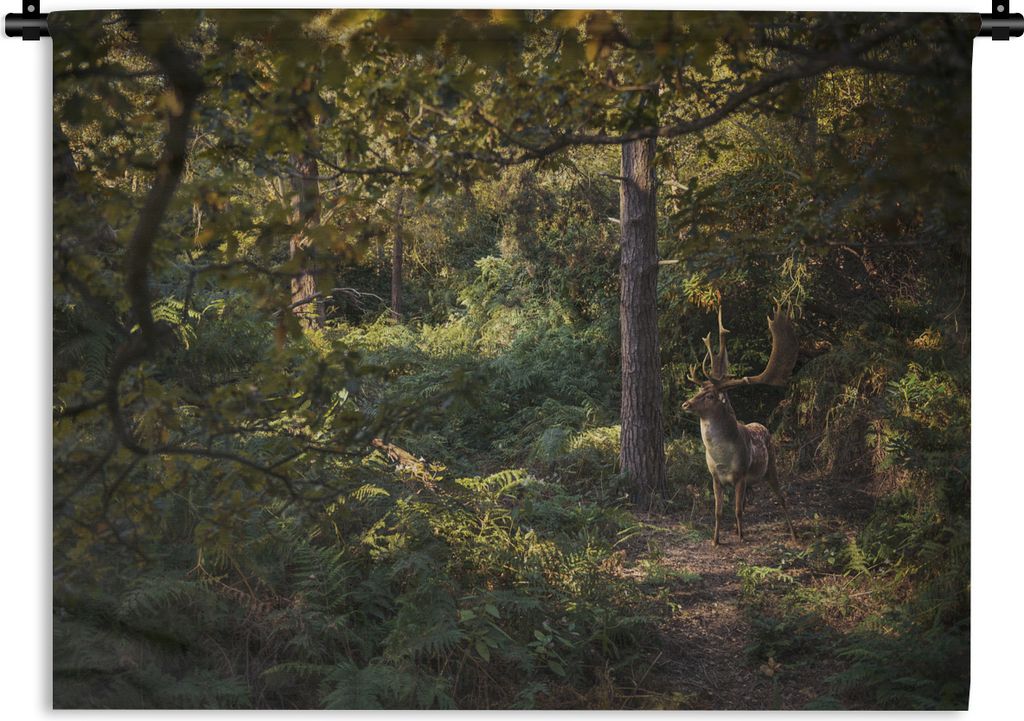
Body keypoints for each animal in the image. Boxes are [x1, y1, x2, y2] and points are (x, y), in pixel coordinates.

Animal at [681, 301, 799, 546]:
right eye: (699, 390)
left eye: (710, 396)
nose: (685, 403)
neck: (722, 458)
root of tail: (762, 426)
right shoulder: (714, 477)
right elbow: (718, 512)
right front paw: (716, 540)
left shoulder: (741, 475)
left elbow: (737, 510)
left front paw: (742, 538)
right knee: (748, 501)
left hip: (771, 466)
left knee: (782, 498)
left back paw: (793, 533)